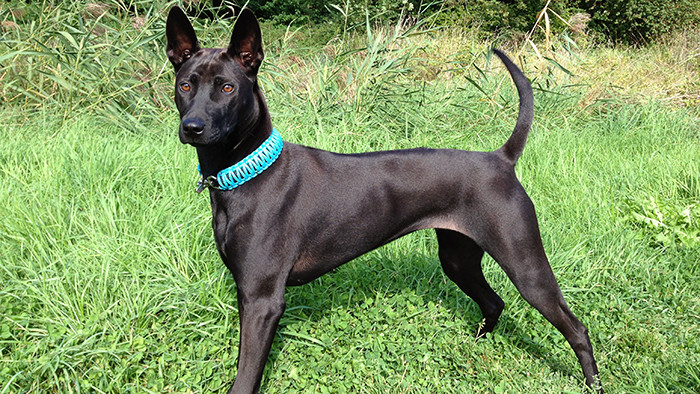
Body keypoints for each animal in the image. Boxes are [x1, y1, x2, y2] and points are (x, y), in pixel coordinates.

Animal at [165, 6, 600, 394]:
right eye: (186, 85)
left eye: (227, 87)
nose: (193, 127)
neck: (248, 172)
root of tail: (501, 158)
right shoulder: (248, 294)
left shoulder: (262, 300)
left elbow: (245, 376)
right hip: (458, 258)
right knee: (493, 303)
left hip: (526, 265)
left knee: (575, 327)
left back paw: (592, 383)